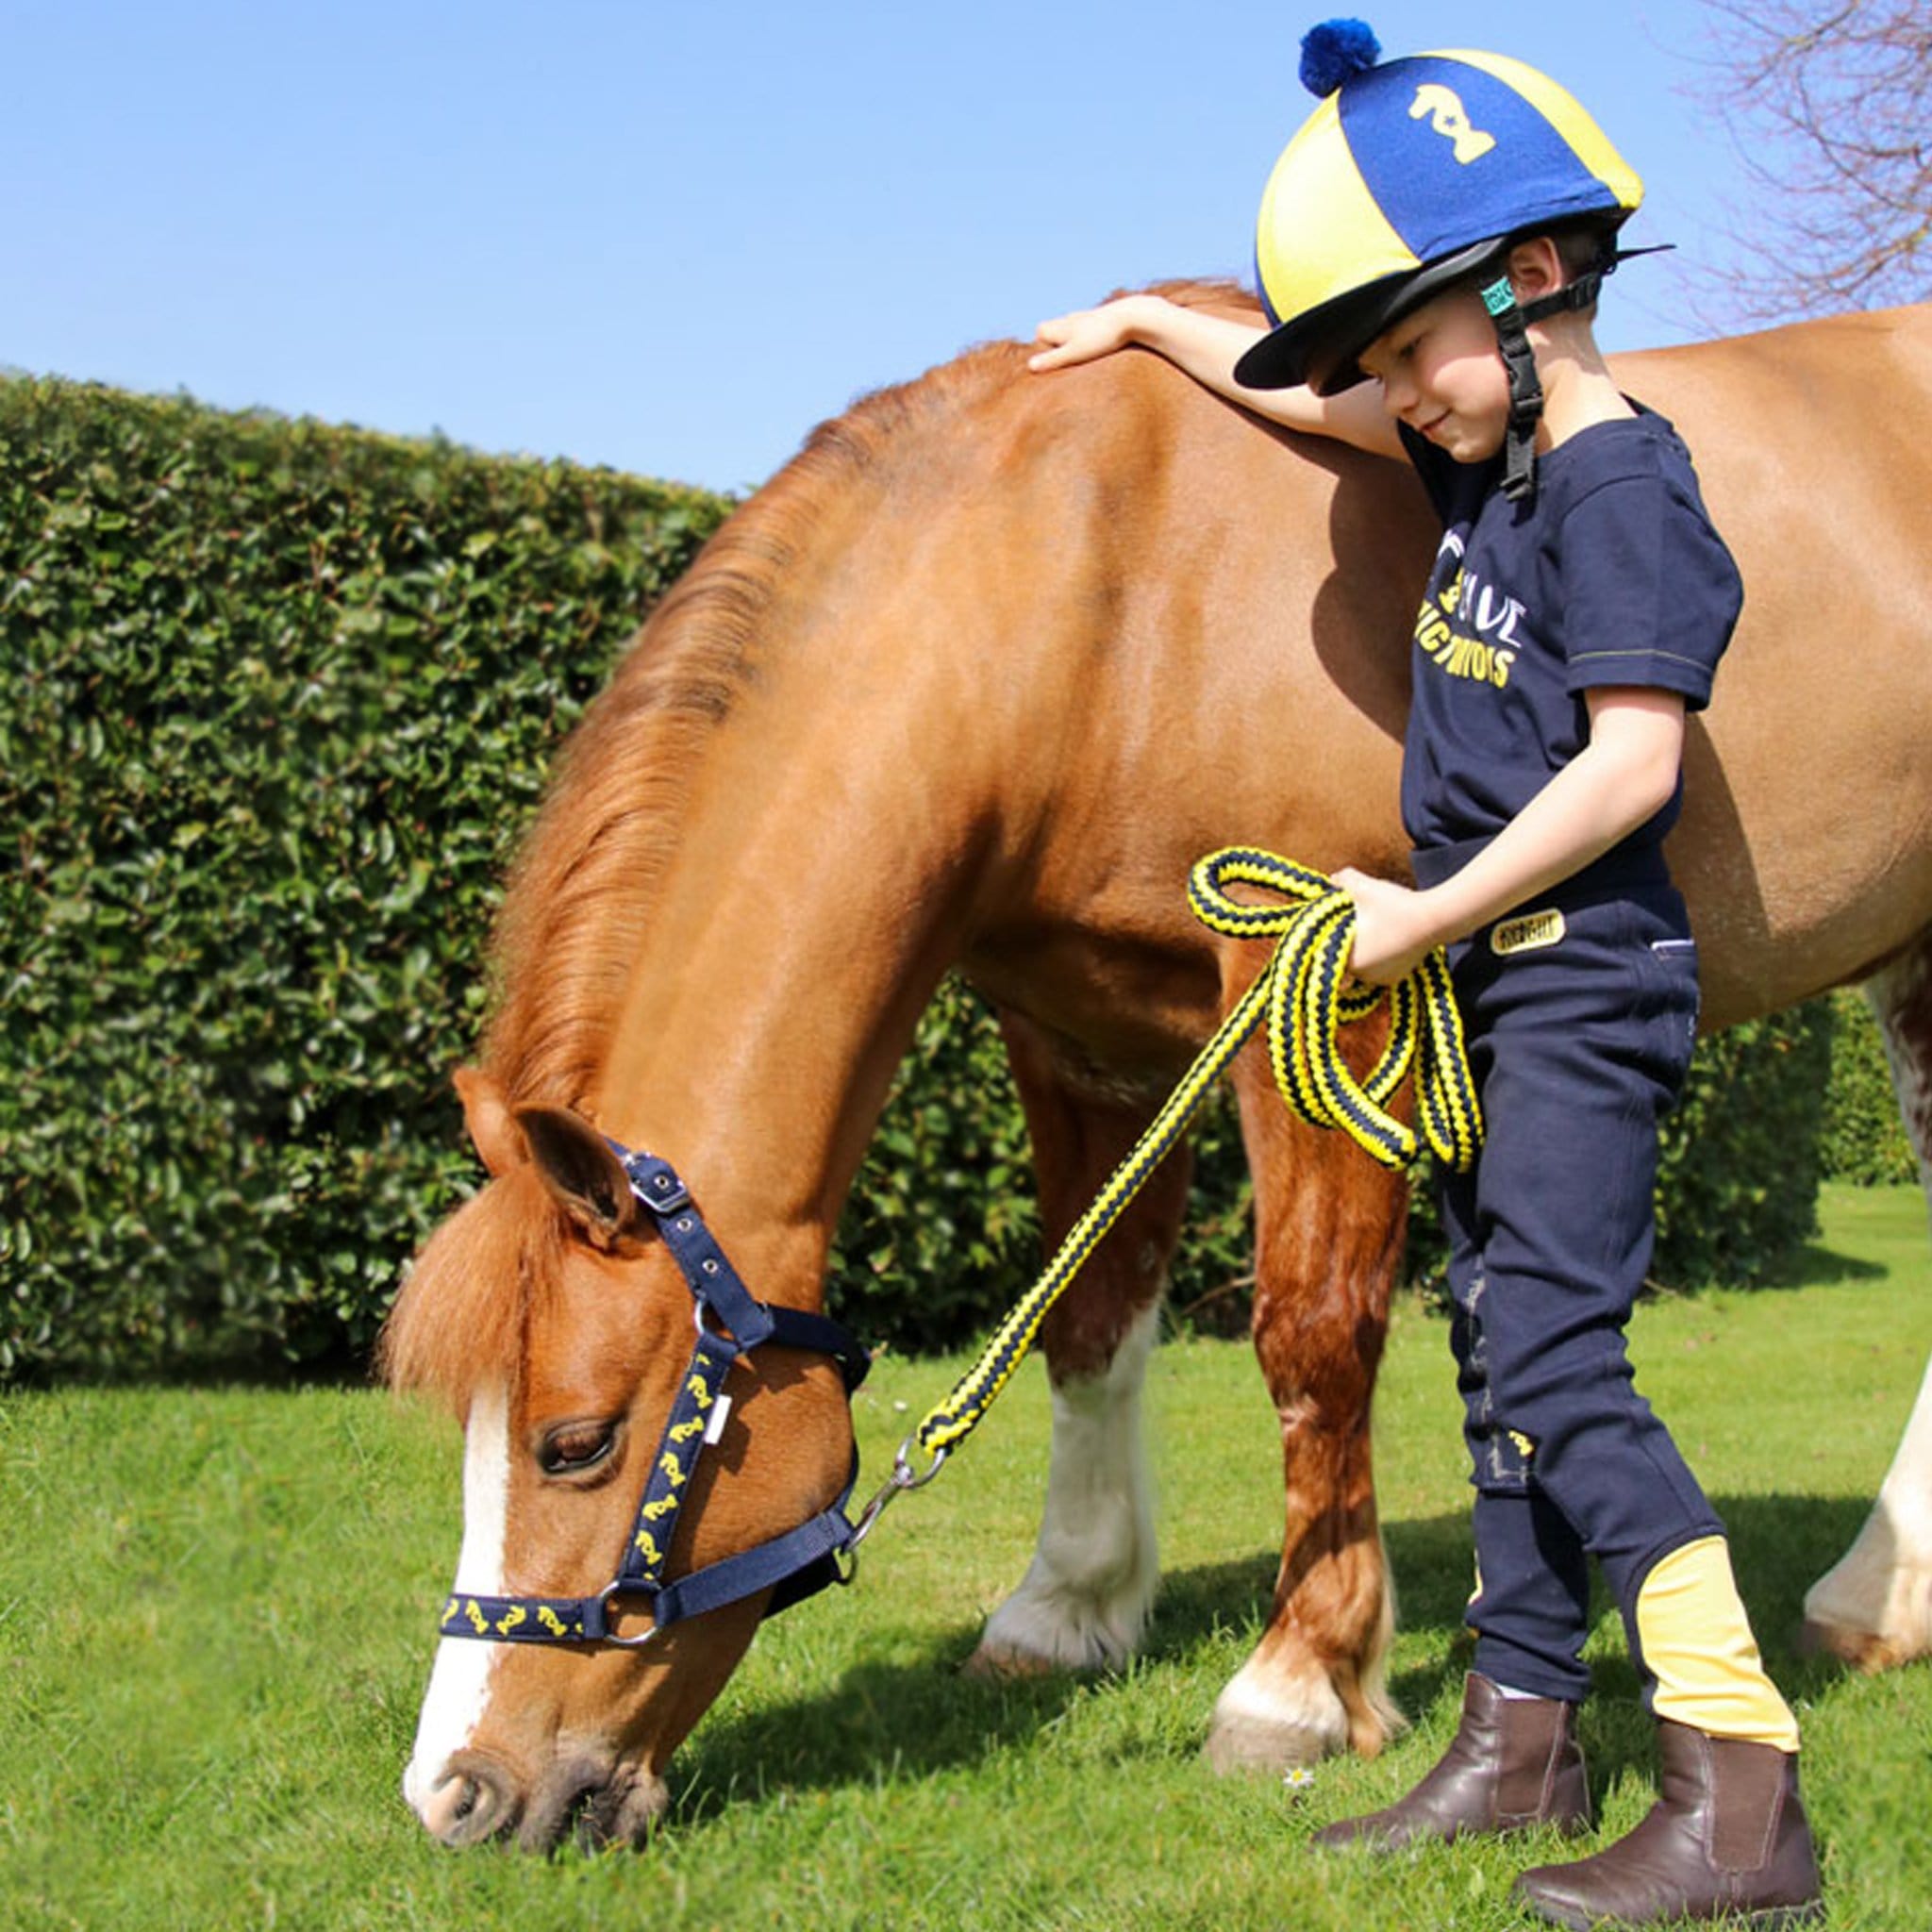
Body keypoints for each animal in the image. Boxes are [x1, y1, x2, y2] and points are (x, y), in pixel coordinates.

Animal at [380, 285, 1932, 1849]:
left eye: (576, 1443)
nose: (456, 1792)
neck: (1096, 590)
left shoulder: (1322, 983)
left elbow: (1313, 1333)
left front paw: (1298, 1684)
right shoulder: (1081, 1038)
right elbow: (1087, 1318)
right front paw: (1065, 1610)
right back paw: (1882, 1603)